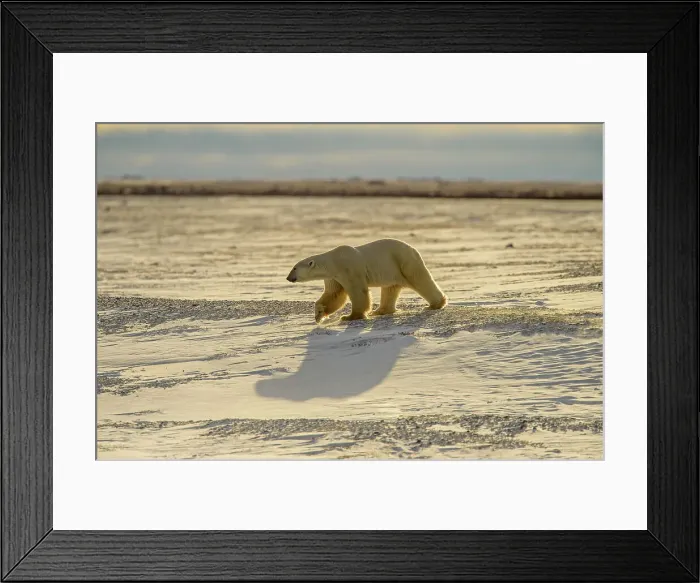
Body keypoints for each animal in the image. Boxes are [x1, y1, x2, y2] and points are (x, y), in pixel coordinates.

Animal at [286, 238, 448, 323]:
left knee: (420, 279)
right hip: (391, 270)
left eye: (294, 268)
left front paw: (350, 316)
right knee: (390, 289)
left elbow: (357, 291)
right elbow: (334, 294)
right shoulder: (334, 276)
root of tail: (414, 249)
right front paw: (319, 314)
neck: (333, 262)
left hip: (403, 261)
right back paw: (380, 311)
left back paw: (436, 304)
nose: (288, 278)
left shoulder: (348, 267)